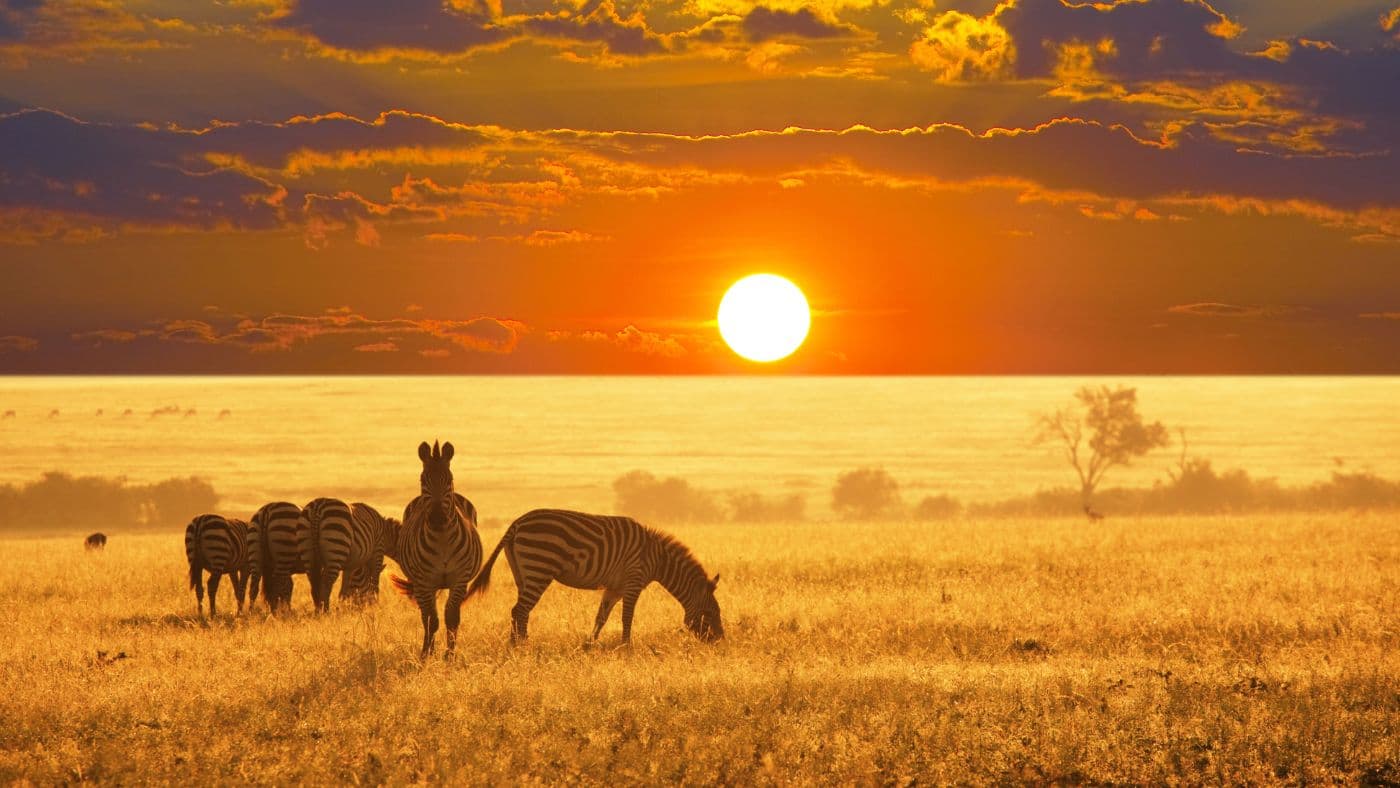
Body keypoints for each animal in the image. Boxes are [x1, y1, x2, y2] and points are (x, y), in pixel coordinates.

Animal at [391, 440, 482, 659]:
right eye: (423, 480)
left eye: (449, 480)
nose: (438, 518)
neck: (442, 539)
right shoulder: (424, 581)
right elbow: (432, 620)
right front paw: (427, 654)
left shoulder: (460, 579)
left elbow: (452, 617)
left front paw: (450, 655)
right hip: (422, 584)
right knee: (425, 616)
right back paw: (427, 648)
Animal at [464, 509, 723, 645]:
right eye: (710, 613)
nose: (720, 641)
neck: (657, 558)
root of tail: (517, 523)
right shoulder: (633, 581)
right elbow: (627, 618)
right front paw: (626, 647)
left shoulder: (615, 588)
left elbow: (601, 617)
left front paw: (590, 645)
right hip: (539, 567)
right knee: (520, 610)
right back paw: (522, 646)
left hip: (522, 573)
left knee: (518, 610)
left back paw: (516, 644)